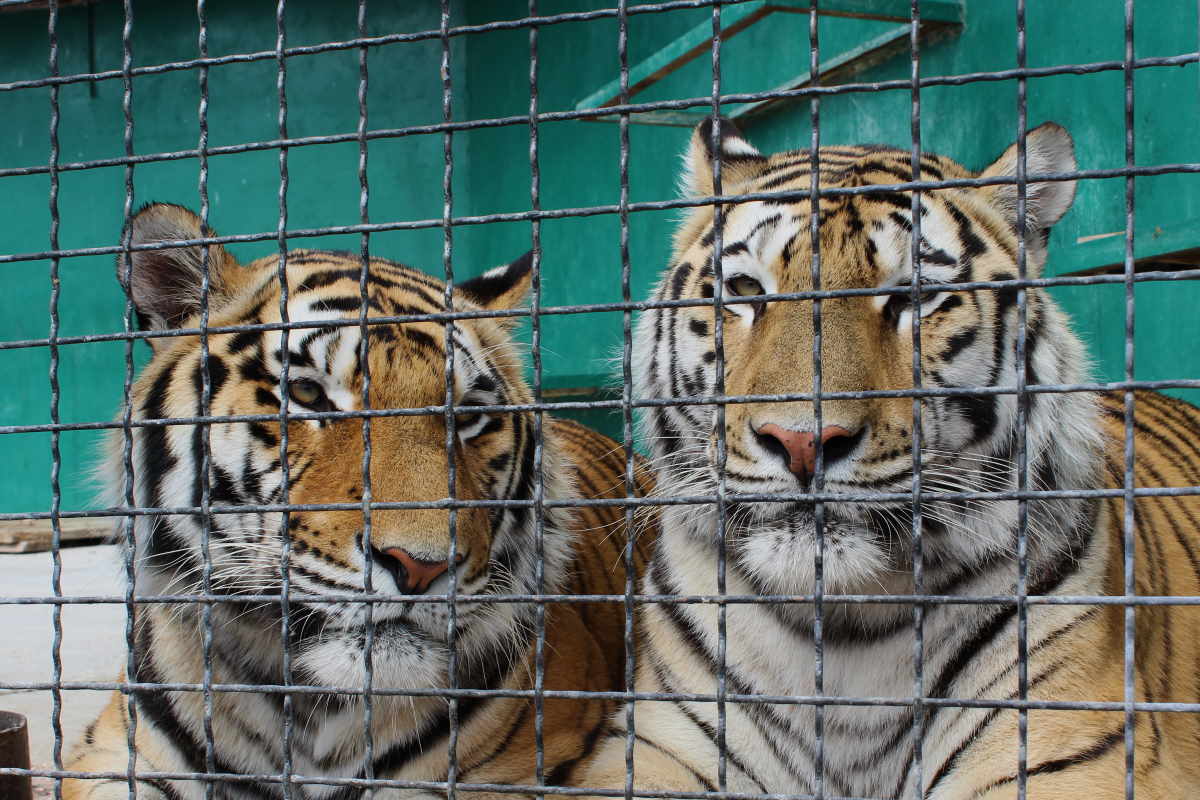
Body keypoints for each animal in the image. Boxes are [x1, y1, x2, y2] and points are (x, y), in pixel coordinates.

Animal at [574, 119, 1200, 799]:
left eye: (914, 299)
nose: (802, 442)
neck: (845, 630)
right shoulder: (651, 748)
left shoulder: (1072, 751)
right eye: (745, 291)